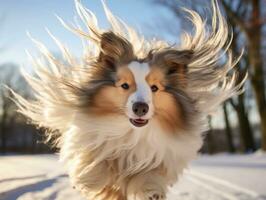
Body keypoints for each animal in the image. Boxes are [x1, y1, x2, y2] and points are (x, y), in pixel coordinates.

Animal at [12, 0, 245, 199]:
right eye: (124, 85)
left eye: (154, 88)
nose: (140, 108)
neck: (132, 133)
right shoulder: (93, 141)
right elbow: (97, 164)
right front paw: (88, 181)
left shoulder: (159, 158)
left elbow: (149, 175)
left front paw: (151, 192)